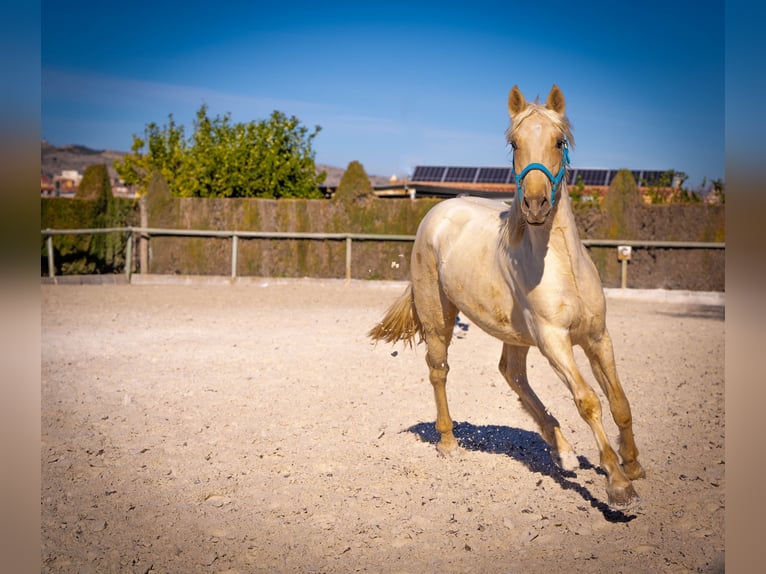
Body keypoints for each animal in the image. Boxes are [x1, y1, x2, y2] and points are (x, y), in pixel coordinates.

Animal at [368, 84, 644, 508]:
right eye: (514, 143)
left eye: (559, 140)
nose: (535, 204)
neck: (560, 265)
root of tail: (438, 212)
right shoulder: (554, 341)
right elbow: (588, 401)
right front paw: (618, 484)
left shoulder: (597, 337)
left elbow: (620, 401)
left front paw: (633, 465)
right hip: (438, 317)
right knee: (439, 370)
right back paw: (448, 442)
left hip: (516, 335)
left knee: (512, 374)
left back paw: (563, 452)